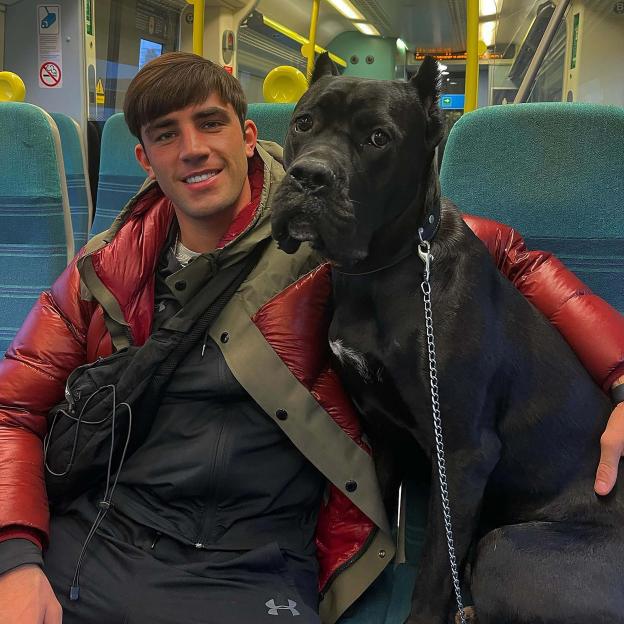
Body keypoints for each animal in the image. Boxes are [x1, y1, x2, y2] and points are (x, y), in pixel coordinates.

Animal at [272, 54, 624, 624]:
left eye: (378, 138)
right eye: (303, 122)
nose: (310, 176)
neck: (380, 271)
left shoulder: (460, 456)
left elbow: (437, 572)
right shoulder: (381, 429)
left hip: (507, 550)